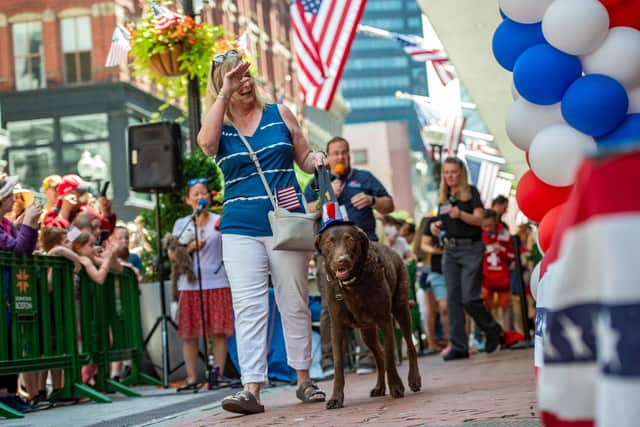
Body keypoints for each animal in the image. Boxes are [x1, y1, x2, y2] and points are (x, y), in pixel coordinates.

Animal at [314, 222, 420, 410]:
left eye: (350, 240)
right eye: (329, 242)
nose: (342, 260)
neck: (351, 284)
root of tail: (392, 250)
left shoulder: (385, 321)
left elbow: (390, 357)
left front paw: (396, 387)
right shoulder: (337, 327)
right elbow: (339, 365)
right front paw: (336, 398)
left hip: (401, 309)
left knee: (409, 345)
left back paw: (413, 379)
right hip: (366, 331)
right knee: (379, 356)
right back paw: (379, 387)